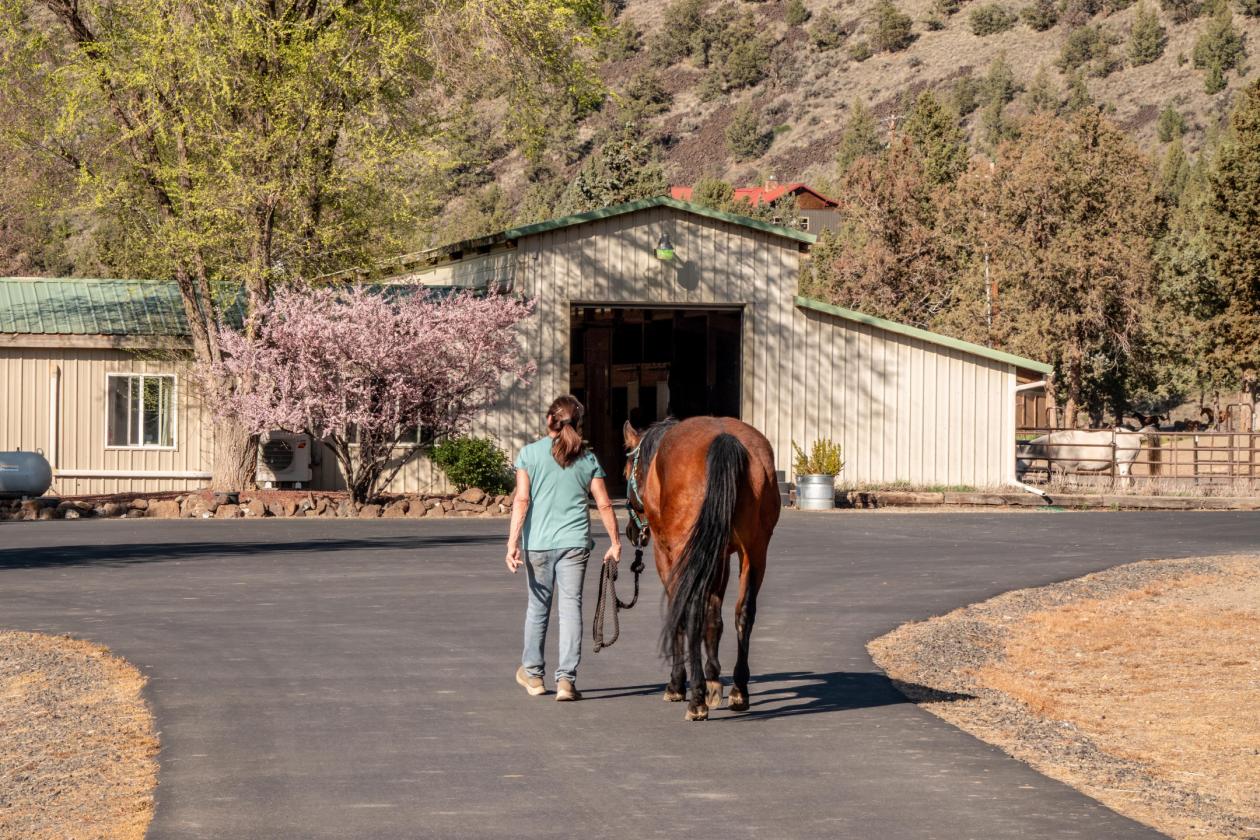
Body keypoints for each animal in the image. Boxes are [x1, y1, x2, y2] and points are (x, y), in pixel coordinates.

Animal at [623, 416, 781, 721]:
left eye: (626, 471)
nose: (632, 532)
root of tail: (726, 440)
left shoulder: (667, 556)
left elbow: (682, 614)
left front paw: (678, 685)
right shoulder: (718, 557)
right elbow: (714, 617)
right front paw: (714, 681)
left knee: (692, 610)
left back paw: (695, 700)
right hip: (755, 552)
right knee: (744, 612)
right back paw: (739, 691)